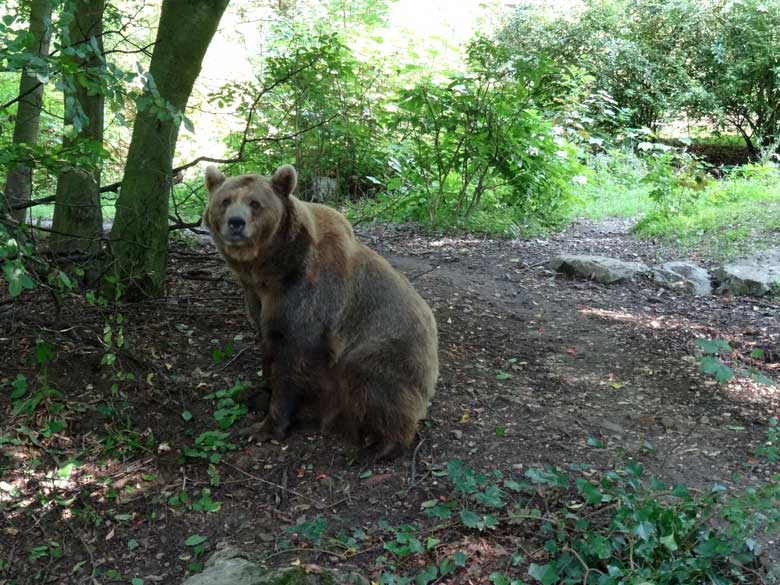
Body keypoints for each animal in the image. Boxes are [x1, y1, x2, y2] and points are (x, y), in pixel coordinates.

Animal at [203, 163, 438, 456]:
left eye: (255, 203)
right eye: (225, 201)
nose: (236, 222)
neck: (271, 269)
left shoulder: (308, 297)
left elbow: (292, 358)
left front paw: (265, 427)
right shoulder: (258, 298)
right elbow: (267, 343)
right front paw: (259, 393)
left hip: (390, 351)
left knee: (373, 381)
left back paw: (377, 447)